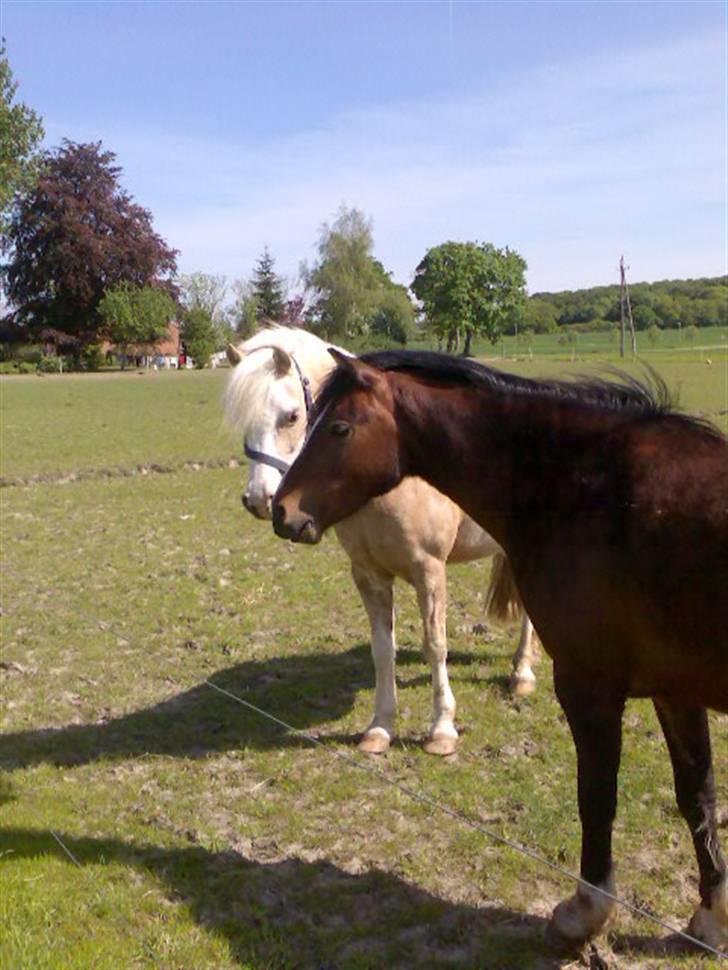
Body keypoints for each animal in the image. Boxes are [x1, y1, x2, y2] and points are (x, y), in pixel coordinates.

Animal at [225, 328, 536, 760]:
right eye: (244, 422)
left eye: (291, 416)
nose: (261, 500)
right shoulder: (368, 574)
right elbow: (382, 649)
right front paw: (379, 727)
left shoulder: (429, 570)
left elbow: (435, 644)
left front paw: (442, 729)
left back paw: (522, 673)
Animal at [274, 350, 728, 952]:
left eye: (340, 427)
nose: (281, 511)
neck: (591, 487)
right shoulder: (675, 691)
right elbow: (697, 796)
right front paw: (711, 916)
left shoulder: (589, 686)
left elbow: (596, 797)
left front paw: (585, 912)